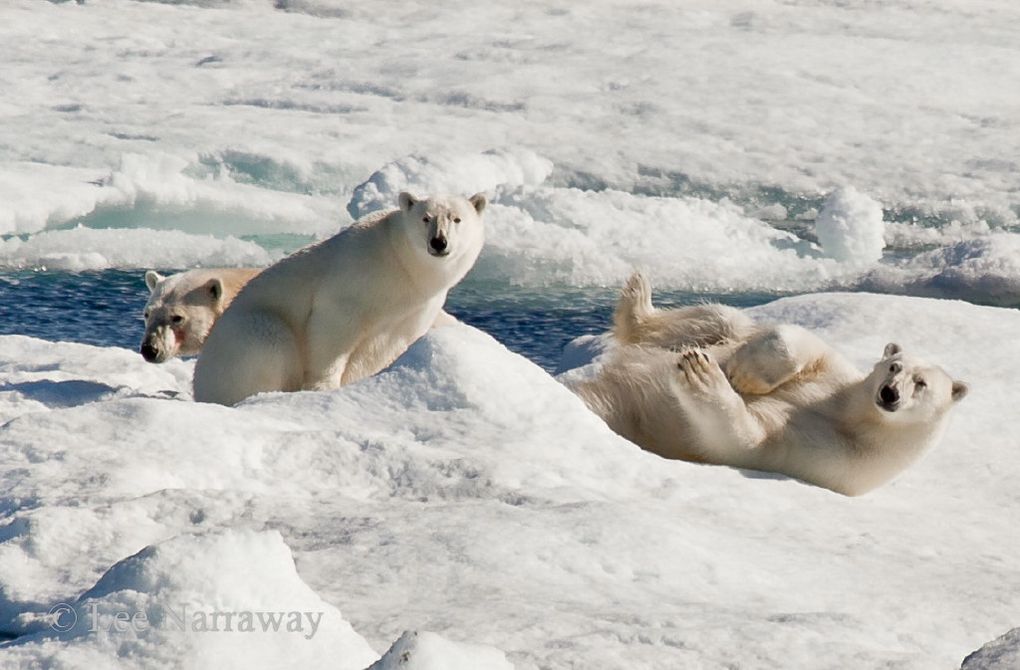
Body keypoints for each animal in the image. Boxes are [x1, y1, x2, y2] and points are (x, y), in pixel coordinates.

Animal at [195, 190, 489, 405]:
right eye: (426, 218)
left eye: (456, 219)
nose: (439, 242)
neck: (401, 264)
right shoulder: (354, 277)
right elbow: (332, 327)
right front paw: (323, 388)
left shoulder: (415, 307)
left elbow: (384, 345)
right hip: (250, 332)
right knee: (270, 341)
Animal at [571, 273, 966, 495]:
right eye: (893, 366)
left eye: (921, 383)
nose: (889, 393)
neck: (855, 420)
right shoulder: (838, 379)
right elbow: (801, 341)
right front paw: (744, 373)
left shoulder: (832, 462)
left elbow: (744, 441)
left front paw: (702, 373)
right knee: (721, 318)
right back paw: (637, 301)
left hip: (621, 414)